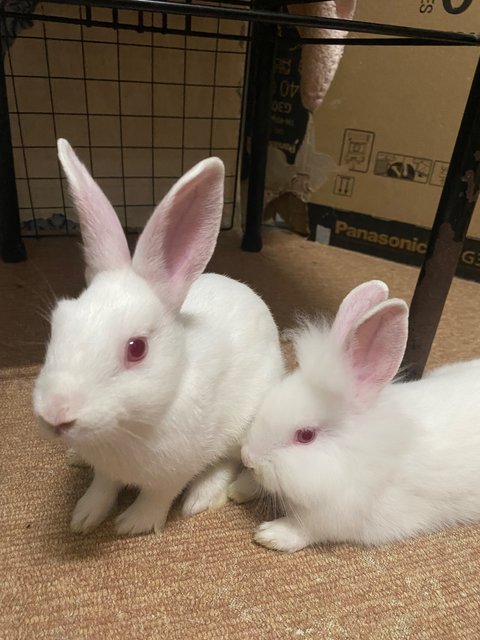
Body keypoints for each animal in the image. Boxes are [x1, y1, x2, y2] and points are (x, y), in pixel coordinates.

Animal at [34, 139, 284, 536]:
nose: (56, 414)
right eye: (58, 324)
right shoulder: (106, 471)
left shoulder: (173, 471)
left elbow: (157, 497)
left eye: (137, 349)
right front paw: (84, 517)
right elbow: (101, 486)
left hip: (241, 423)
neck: (125, 428)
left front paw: (131, 524)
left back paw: (201, 497)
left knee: (227, 462)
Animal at [240, 282, 480, 552]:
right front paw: (238, 488)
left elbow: (306, 529)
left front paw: (270, 534)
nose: (247, 457)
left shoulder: (336, 515)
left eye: (305, 436)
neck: (357, 452)